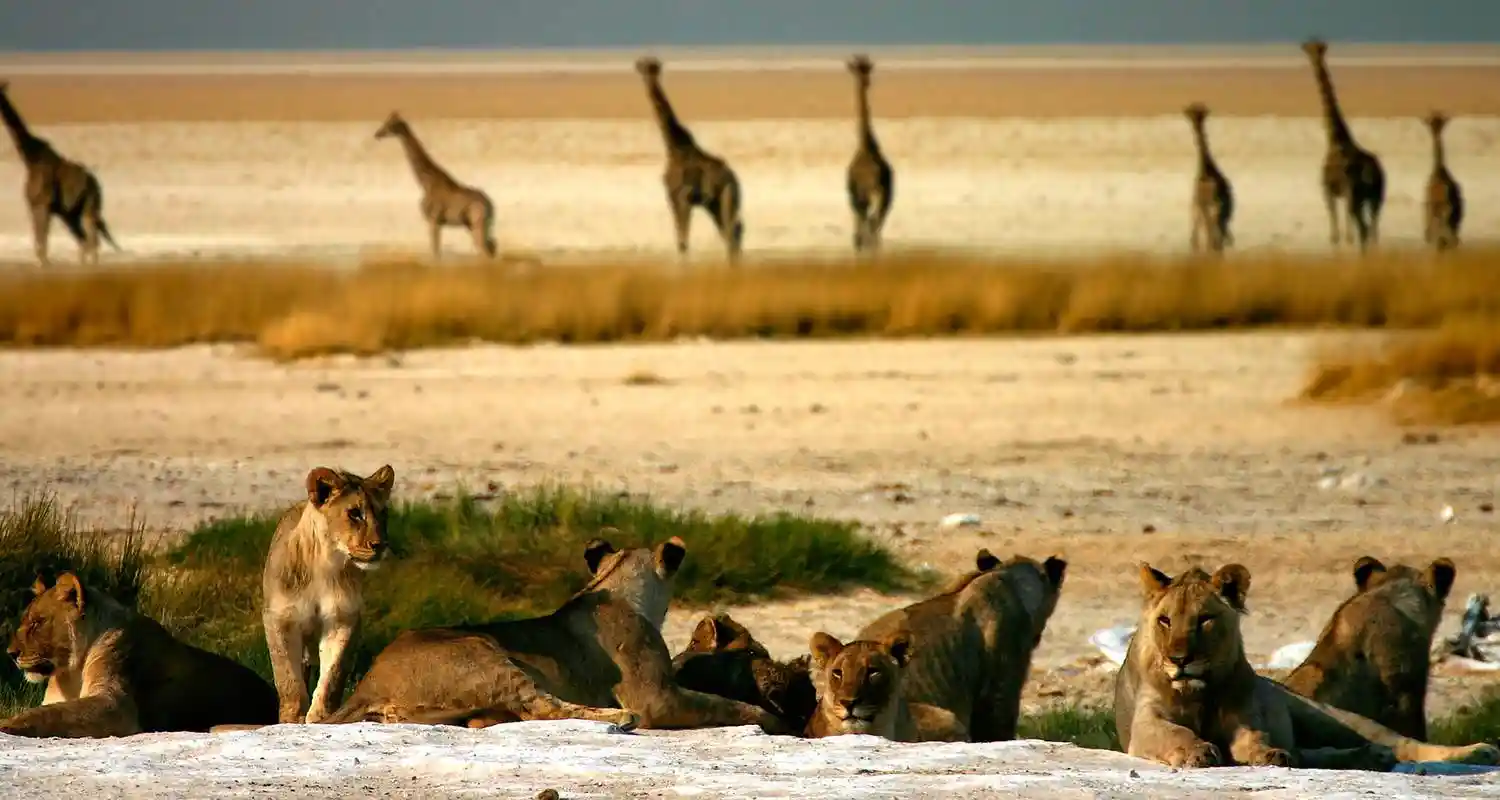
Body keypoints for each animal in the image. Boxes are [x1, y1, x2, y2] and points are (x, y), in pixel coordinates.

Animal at [1, 572, 277, 738]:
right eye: (25, 621)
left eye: (37, 623)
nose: (11, 653)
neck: (71, 672)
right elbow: (49, 709)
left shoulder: (115, 703)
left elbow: (52, 713)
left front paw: (7, 724)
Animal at [261, 464, 395, 724]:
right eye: (354, 513)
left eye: (383, 513)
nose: (381, 545)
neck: (326, 565)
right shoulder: (280, 619)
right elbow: (288, 678)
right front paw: (292, 719)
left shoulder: (342, 619)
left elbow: (332, 676)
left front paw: (319, 717)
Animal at [321, 535, 787, 734]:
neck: (616, 586)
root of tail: (368, 683)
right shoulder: (657, 698)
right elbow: (730, 705)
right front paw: (775, 720)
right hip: (486, 655)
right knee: (543, 707)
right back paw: (617, 718)